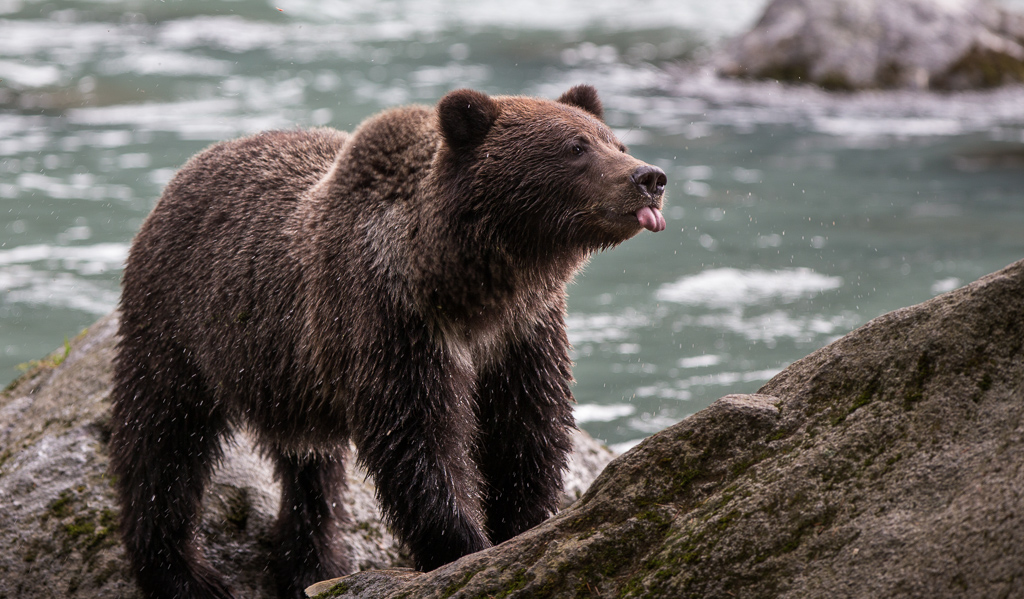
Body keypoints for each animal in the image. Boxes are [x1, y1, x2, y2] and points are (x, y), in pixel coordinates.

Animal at [108, 84, 667, 599]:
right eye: (576, 147)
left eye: (614, 140)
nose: (649, 177)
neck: (469, 283)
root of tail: (191, 166)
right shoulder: (394, 322)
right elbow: (419, 441)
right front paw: (462, 547)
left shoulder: (522, 334)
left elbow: (526, 431)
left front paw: (524, 526)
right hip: (180, 325)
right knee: (162, 442)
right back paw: (184, 574)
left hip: (286, 375)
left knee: (313, 475)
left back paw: (313, 565)